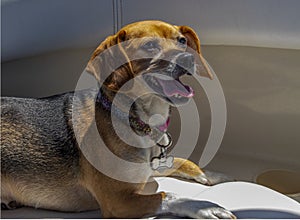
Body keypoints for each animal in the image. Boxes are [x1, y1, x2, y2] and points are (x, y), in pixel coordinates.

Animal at [0, 21, 234, 218]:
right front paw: (205, 207)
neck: (137, 120)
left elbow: (181, 160)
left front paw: (211, 174)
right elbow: (168, 195)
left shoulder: (150, 164)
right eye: (149, 45)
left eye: (182, 41)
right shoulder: (118, 202)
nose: (188, 59)